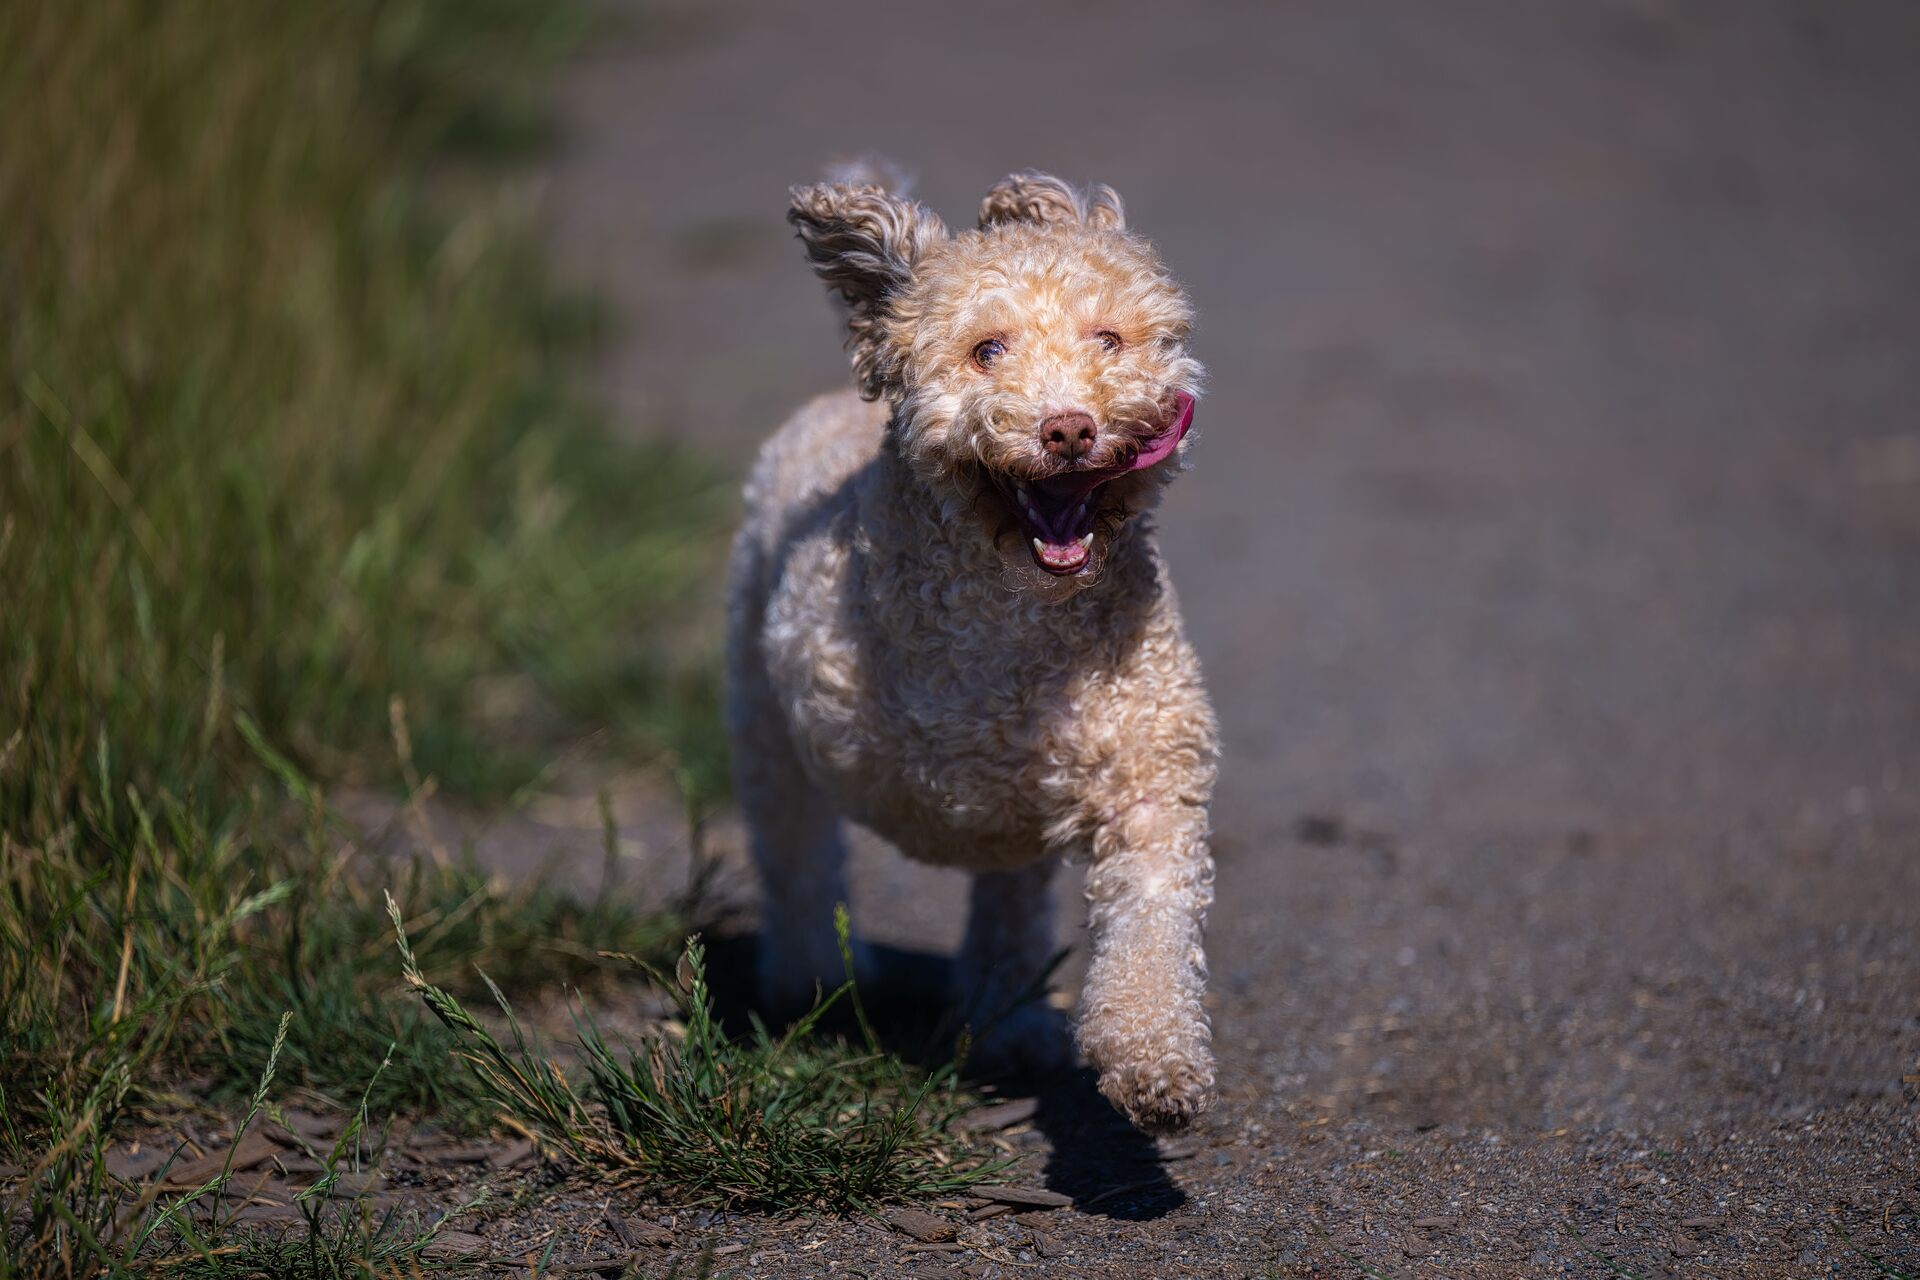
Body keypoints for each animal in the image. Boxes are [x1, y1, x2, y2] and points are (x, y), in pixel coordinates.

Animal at [725, 167, 1221, 1128]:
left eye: (1109, 338)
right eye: (987, 350)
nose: (1068, 428)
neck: (1022, 617)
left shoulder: (1144, 763)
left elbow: (1151, 907)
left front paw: (1155, 1060)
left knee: (1008, 905)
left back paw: (1009, 1018)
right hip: (758, 708)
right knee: (794, 850)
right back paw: (811, 981)